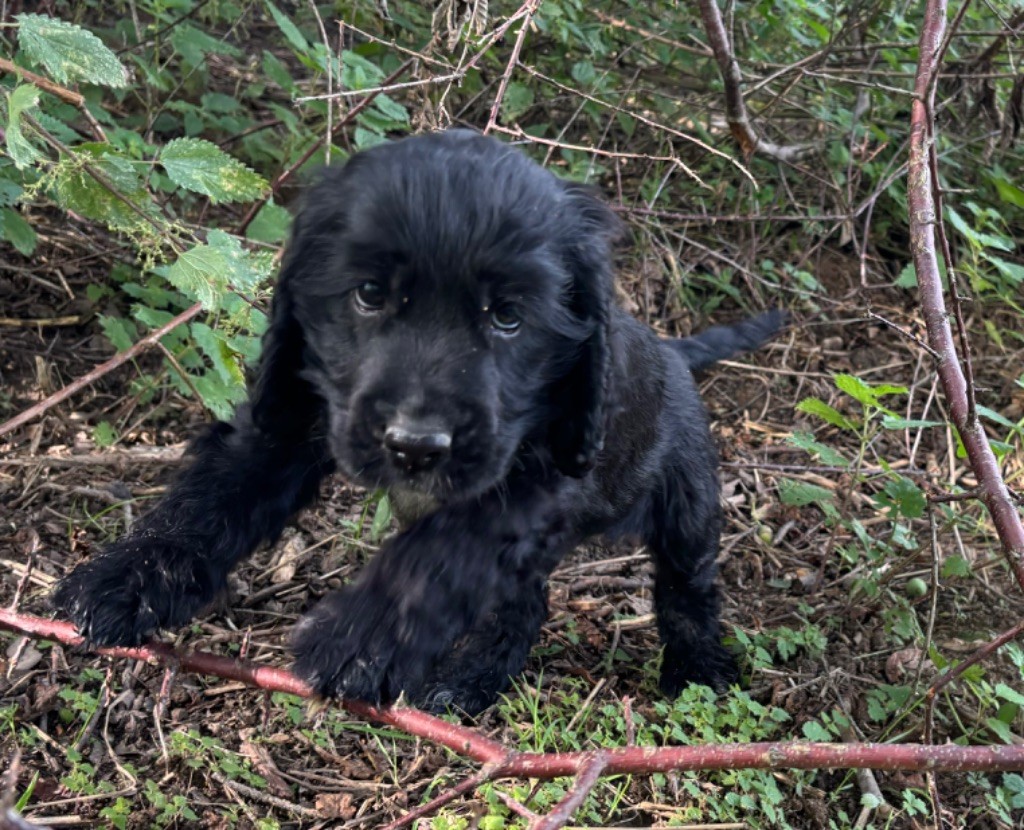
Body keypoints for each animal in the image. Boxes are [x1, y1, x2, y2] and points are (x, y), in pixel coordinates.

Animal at [56, 129, 782, 712]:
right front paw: (128, 577)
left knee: (688, 591)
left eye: (508, 315)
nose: (415, 446)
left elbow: (438, 555)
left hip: (688, 503)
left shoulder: (531, 480)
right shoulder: (293, 417)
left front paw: (360, 642)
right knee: (523, 605)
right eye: (369, 293)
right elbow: (212, 498)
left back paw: (698, 673)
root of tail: (673, 350)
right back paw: (470, 682)